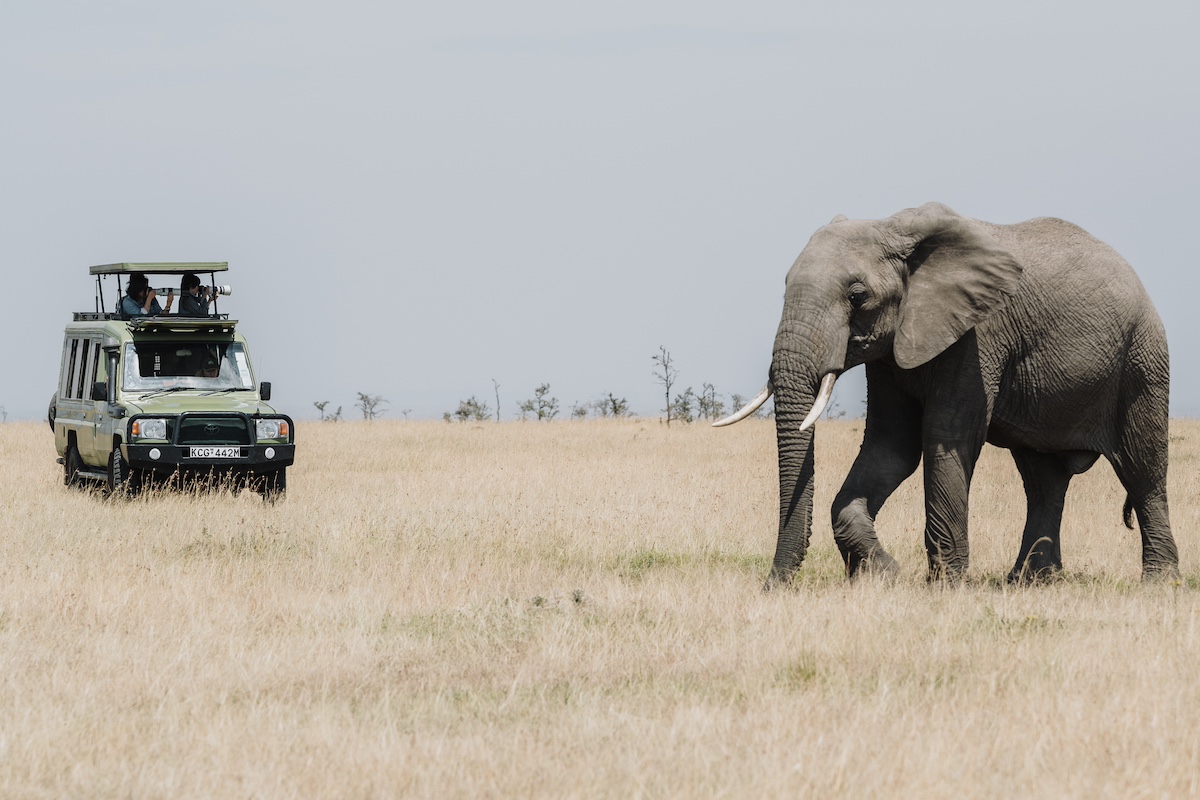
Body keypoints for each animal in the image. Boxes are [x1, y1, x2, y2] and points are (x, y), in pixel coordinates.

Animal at [715, 203, 1176, 585]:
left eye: (857, 296)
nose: (773, 587)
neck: (895, 230)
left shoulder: (977, 336)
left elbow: (945, 439)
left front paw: (944, 587)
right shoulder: (891, 352)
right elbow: (892, 446)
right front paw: (884, 574)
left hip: (1142, 360)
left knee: (1142, 471)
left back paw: (1158, 583)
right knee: (1043, 481)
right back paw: (1029, 582)